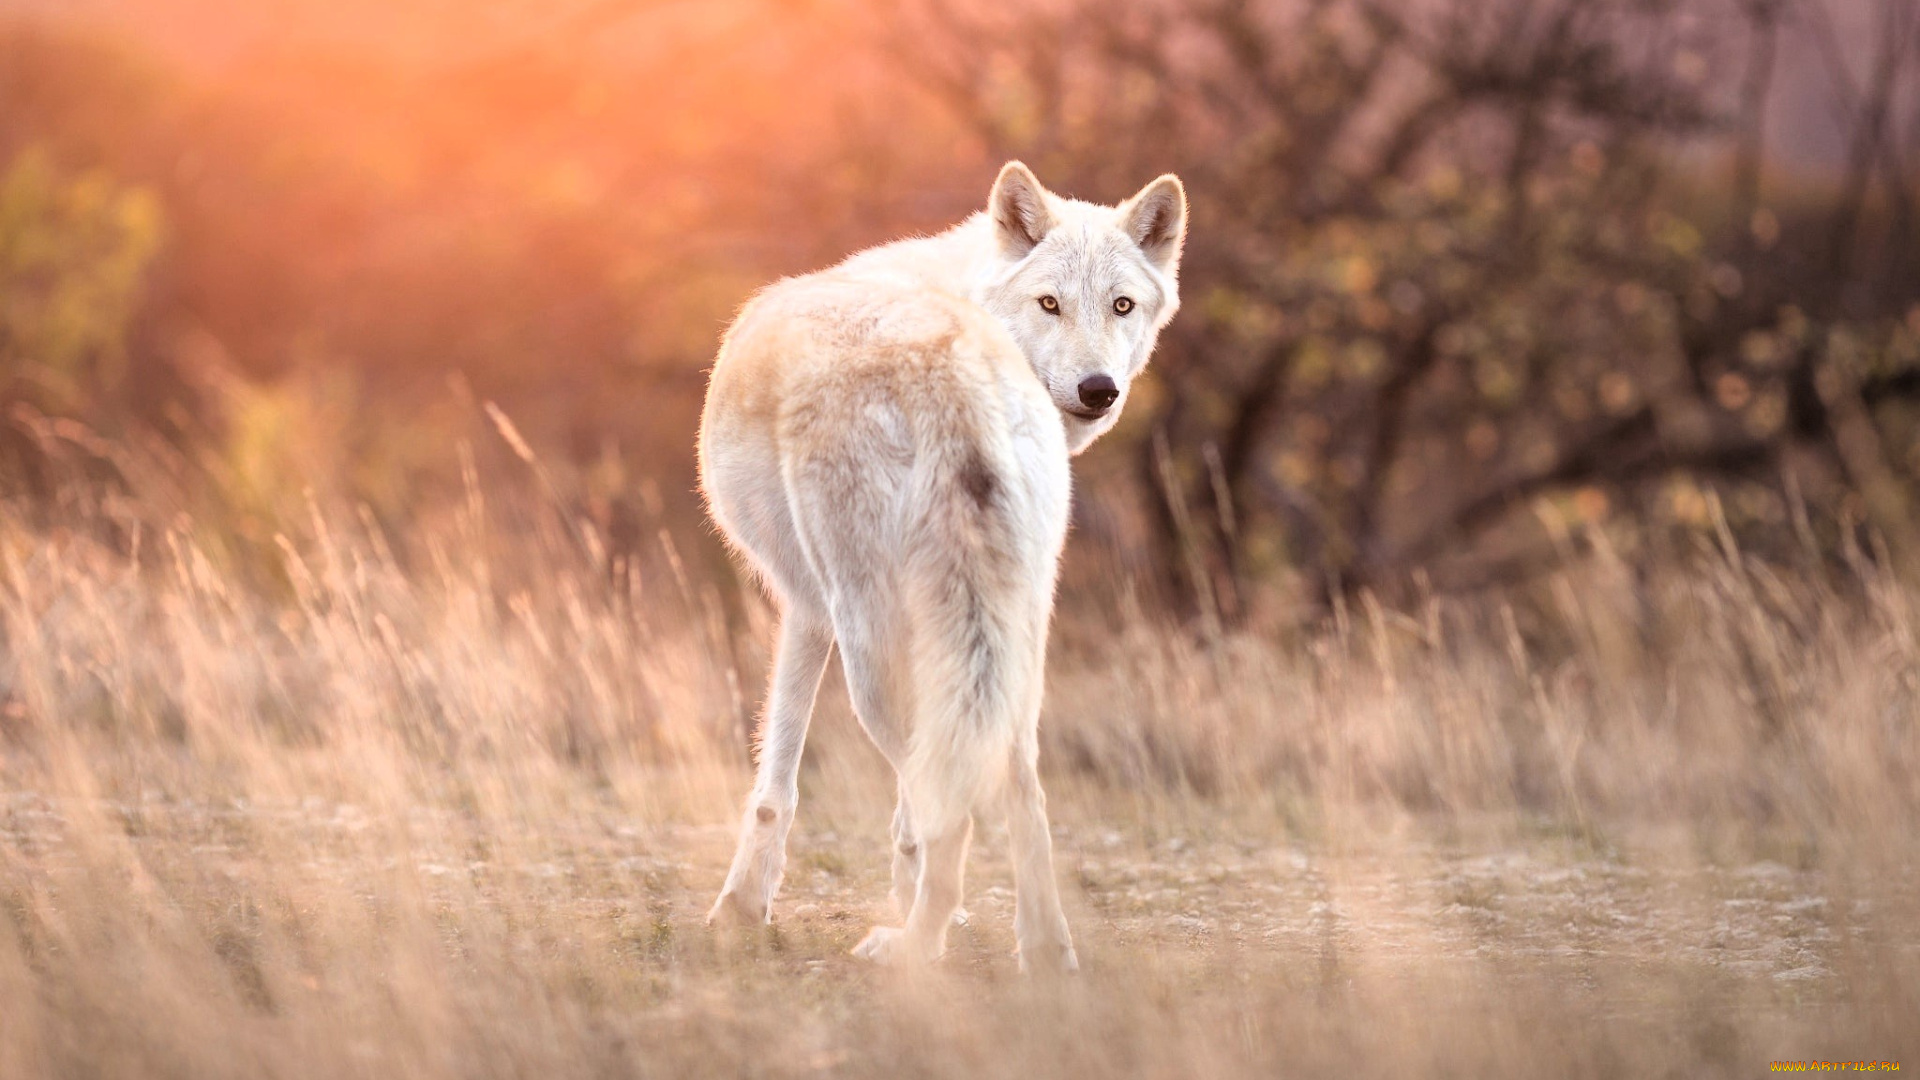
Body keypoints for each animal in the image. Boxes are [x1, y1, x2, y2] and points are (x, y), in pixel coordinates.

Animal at [702, 159, 1182, 968]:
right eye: (1050, 303)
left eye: (1121, 305)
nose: (1098, 390)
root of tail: (947, 372)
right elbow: (903, 821)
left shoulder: (806, 609)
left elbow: (778, 778)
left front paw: (741, 907)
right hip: (1015, 635)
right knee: (1020, 784)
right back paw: (1044, 951)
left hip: (871, 649)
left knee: (952, 794)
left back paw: (915, 948)